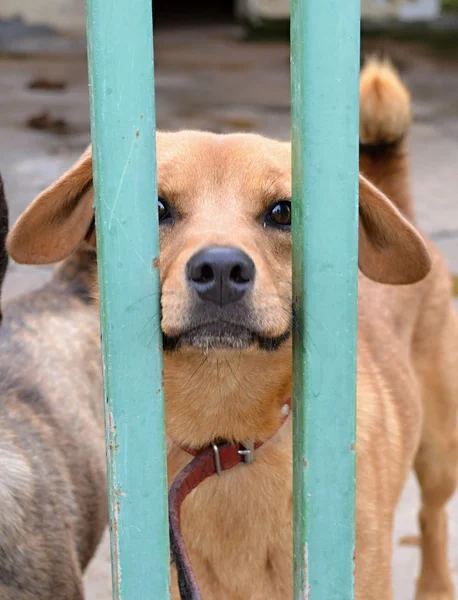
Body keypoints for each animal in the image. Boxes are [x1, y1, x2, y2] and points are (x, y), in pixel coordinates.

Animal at [7, 58, 458, 596]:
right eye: (155, 208)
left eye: (283, 211)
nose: (220, 269)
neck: (228, 438)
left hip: (439, 453)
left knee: (432, 516)